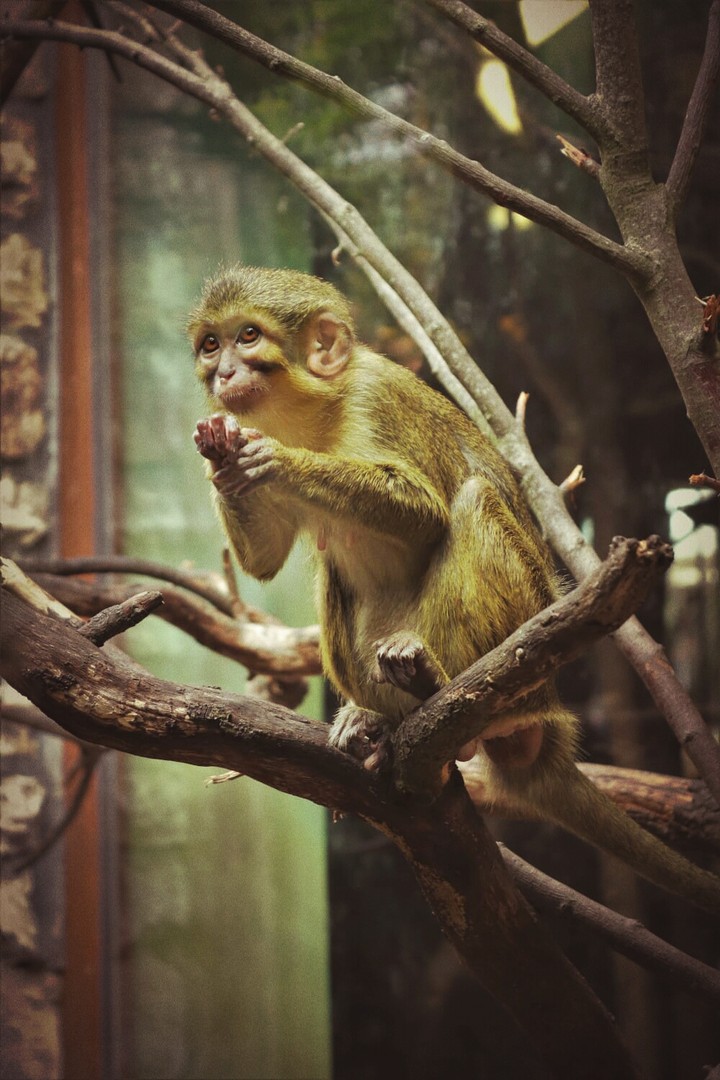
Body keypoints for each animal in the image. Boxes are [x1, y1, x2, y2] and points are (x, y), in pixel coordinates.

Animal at [189, 264, 720, 915]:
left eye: (247, 337)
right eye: (210, 345)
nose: (224, 374)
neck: (316, 412)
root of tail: (542, 710)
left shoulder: (375, 398)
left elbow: (426, 514)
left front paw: (274, 459)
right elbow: (264, 560)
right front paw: (223, 455)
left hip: (519, 653)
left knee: (472, 501)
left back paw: (434, 688)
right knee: (334, 566)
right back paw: (377, 721)